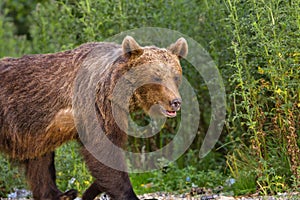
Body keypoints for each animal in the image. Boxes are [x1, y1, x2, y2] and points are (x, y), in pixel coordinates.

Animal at [0, 36, 188, 200]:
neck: (115, 88)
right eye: (156, 76)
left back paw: (63, 194)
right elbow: (104, 149)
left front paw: (91, 190)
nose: (175, 102)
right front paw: (127, 193)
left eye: (176, 76)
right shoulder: (96, 105)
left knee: (40, 163)